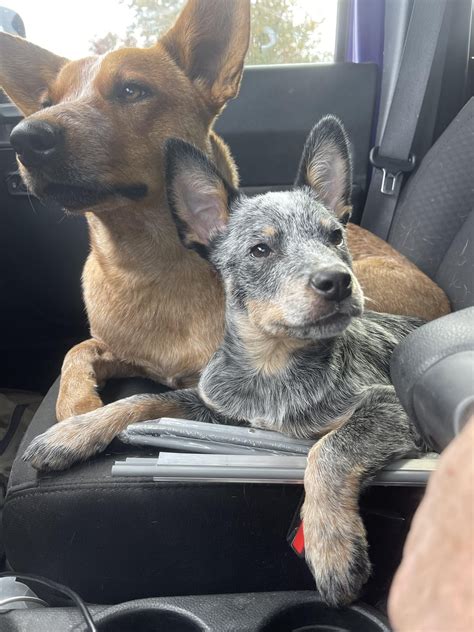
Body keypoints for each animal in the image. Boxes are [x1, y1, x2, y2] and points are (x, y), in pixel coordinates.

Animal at [0, 2, 450, 424]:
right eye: (46, 102)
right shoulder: (117, 348)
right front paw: (77, 404)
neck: (149, 266)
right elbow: (77, 350)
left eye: (131, 90)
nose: (25, 137)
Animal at [24, 117, 426, 608]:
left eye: (335, 236)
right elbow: (137, 401)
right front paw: (71, 433)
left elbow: (328, 448)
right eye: (260, 250)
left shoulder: (389, 405)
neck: (269, 367)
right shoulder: (213, 407)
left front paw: (331, 545)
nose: (338, 281)